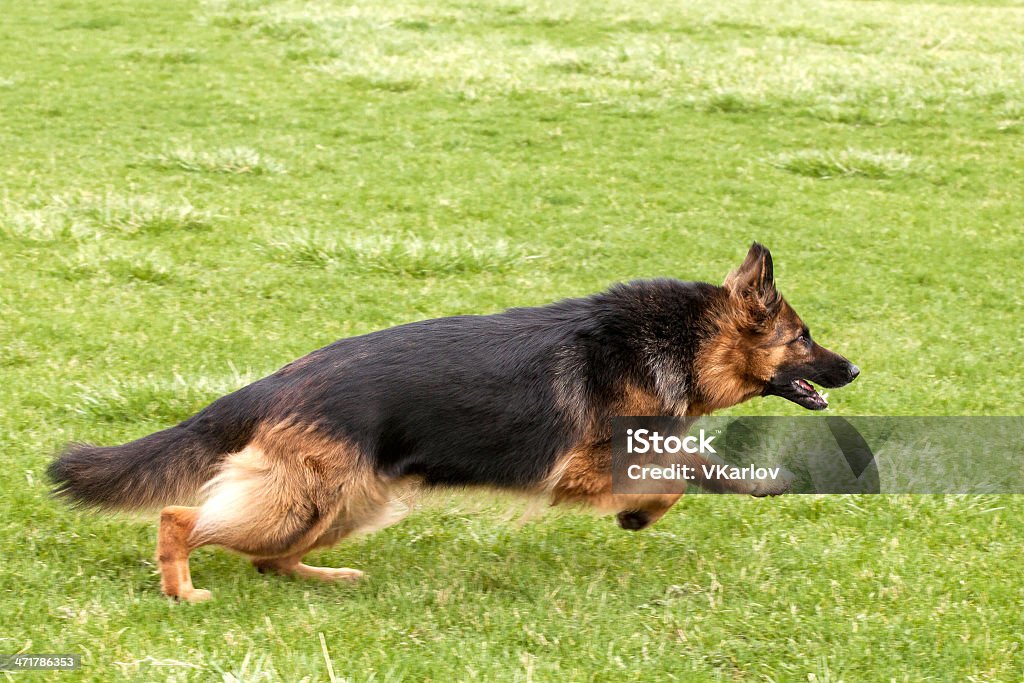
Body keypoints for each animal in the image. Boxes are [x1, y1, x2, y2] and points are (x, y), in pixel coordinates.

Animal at [48, 242, 856, 602]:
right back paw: (182, 588)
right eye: (805, 337)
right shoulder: (583, 466)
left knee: (268, 558)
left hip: (352, 503)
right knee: (184, 515)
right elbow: (686, 470)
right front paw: (670, 505)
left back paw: (328, 576)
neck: (680, 339)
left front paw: (645, 513)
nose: (852, 371)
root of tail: (277, 381)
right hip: (302, 499)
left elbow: (680, 469)